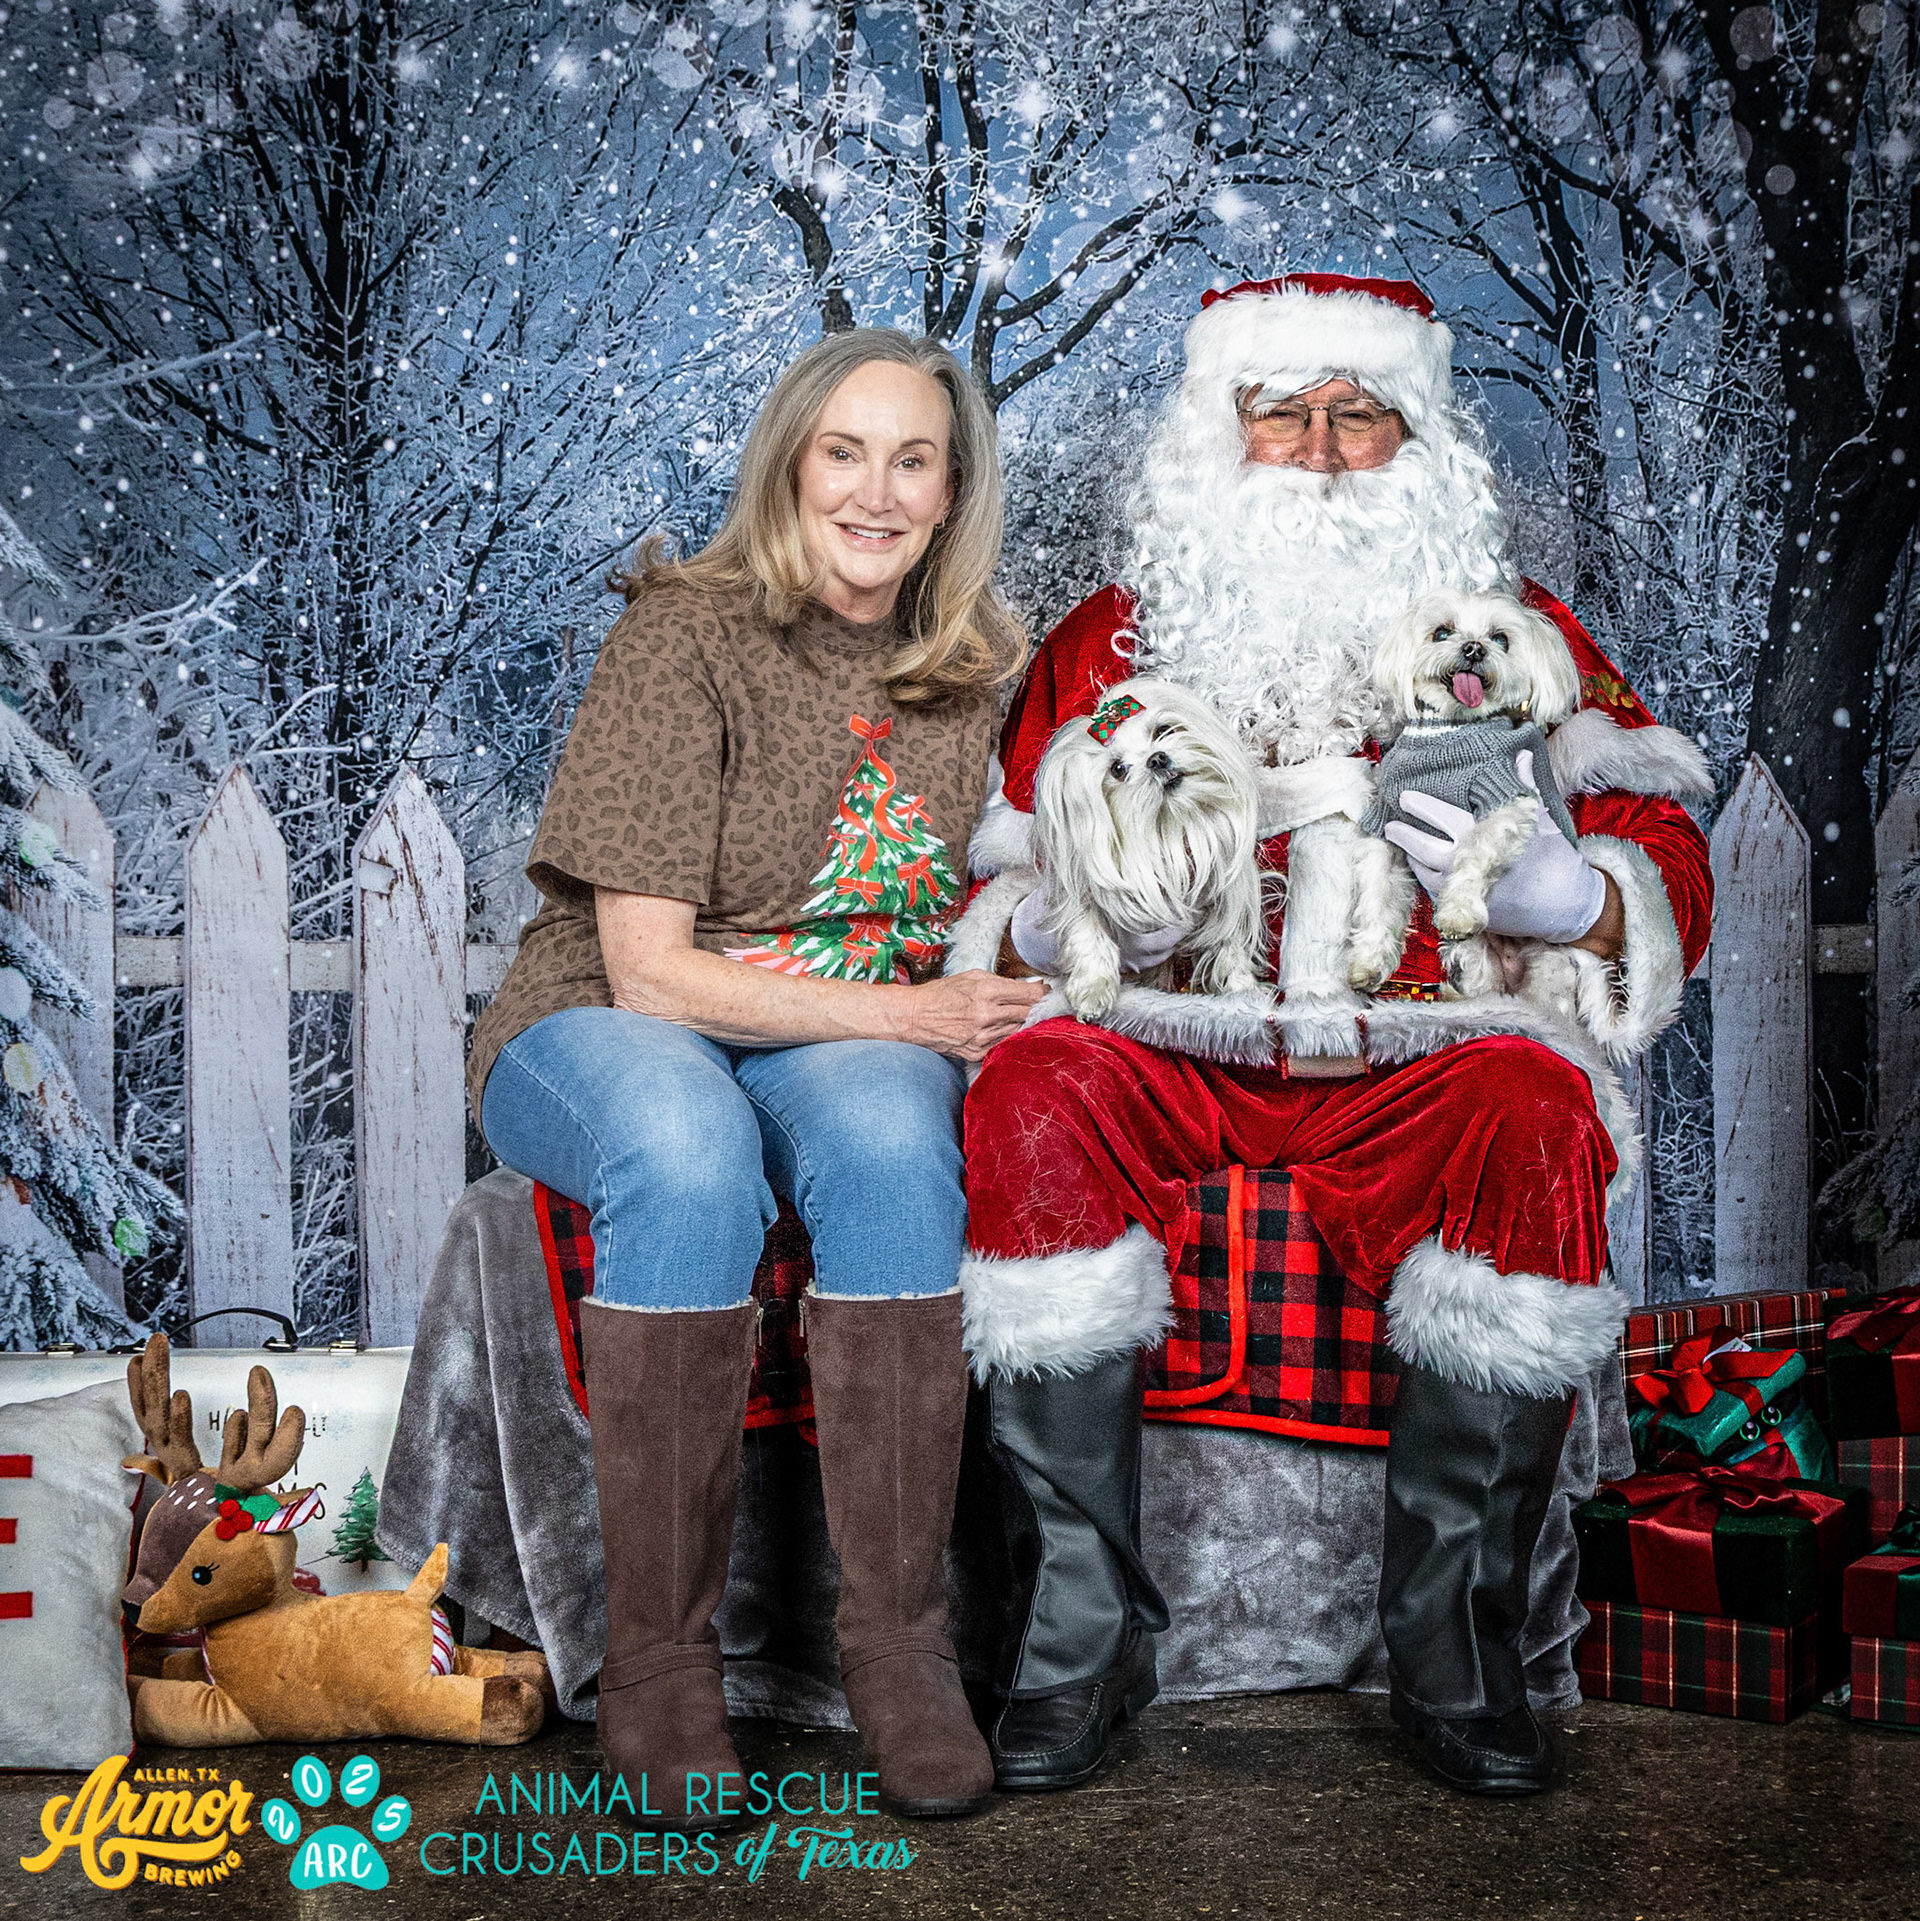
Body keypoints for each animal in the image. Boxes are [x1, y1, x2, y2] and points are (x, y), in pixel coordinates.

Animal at [1030, 677, 1265, 1020]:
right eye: (1118, 769)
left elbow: (1230, 948)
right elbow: (1088, 935)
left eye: (1162, 729)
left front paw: (1243, 993)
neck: (1166, 829)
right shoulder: (1082, 896)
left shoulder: (1224, 899)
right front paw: (1093, 994)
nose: (1157, 759)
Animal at [1351, 588, 1583, 1000]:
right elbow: (1378, 894)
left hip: (1549, 967)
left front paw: (1459, 910)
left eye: (1501, 639)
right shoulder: (1388, 822)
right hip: (1475, 958)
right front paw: (1368, 962)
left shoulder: (1503, 794)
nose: (1474, 649)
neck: (1446, 733)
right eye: (1442, 633)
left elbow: (1474, 849)